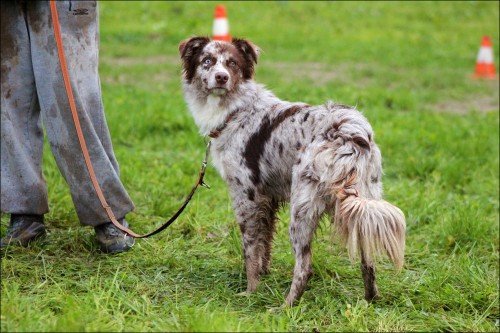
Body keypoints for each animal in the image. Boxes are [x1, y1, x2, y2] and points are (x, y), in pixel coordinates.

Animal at [178, 36, 404, 306]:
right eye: (207, 61)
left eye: (232, 63)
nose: (221, 77)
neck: (237, 109)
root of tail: (351, 133)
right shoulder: (268, 199)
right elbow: (265, 244)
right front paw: (264, 276)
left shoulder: (246, 197)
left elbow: (250, 249)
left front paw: (251, 291)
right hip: (365, 201)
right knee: (367, 258)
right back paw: (370, 300)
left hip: (302, 209)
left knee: (305, 265)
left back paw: (286, 306)